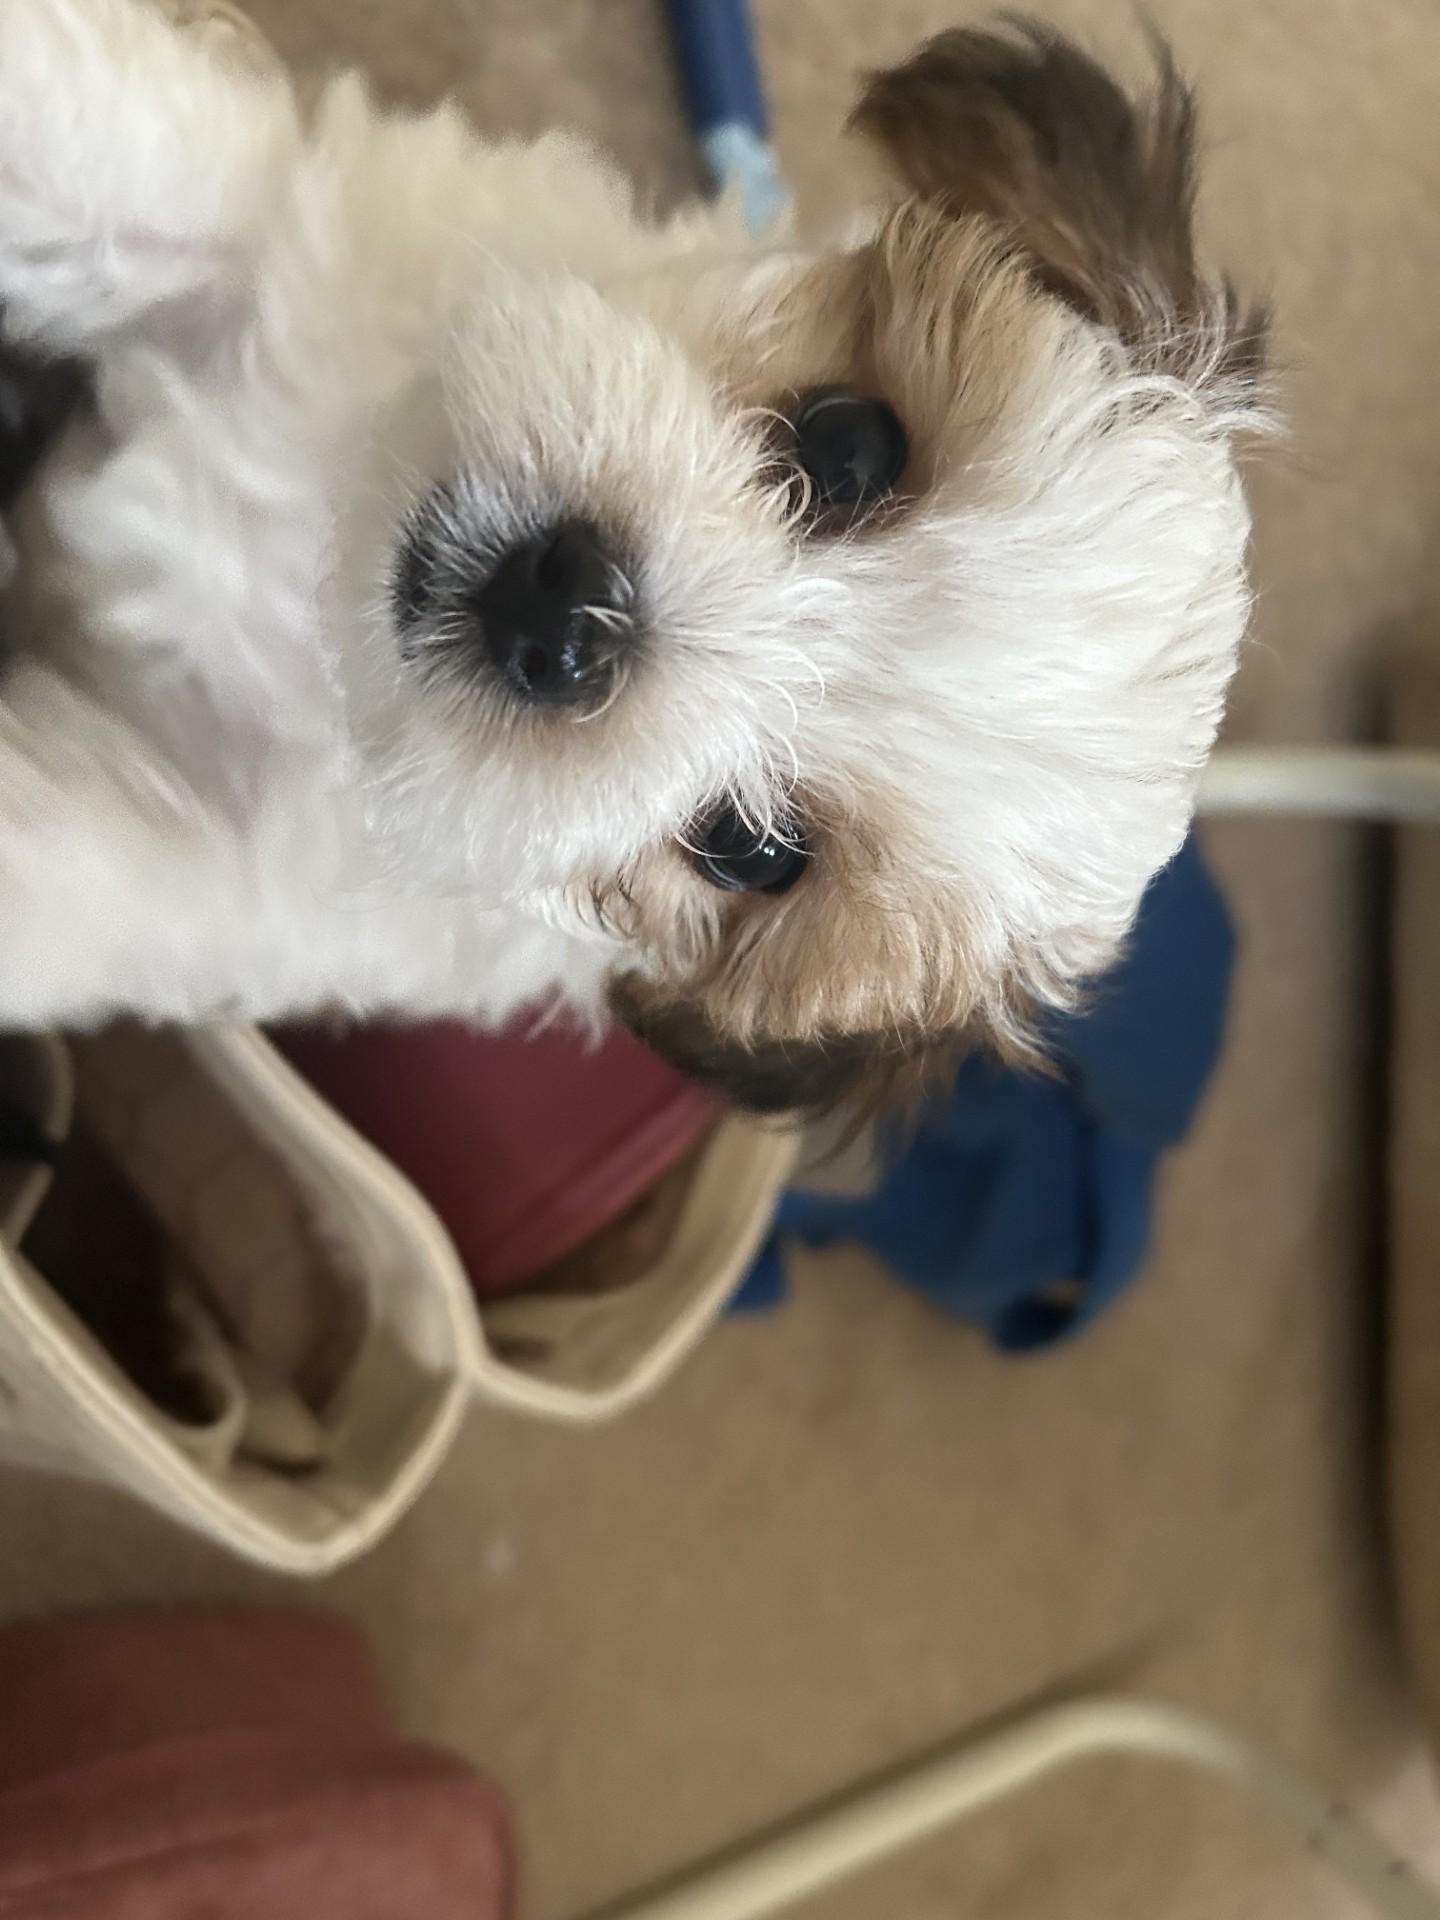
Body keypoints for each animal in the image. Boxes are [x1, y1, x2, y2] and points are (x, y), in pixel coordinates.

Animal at [0, 0, 1269, 1117]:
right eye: (852, 446)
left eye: (750, 850)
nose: (568, 617)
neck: (326, 573)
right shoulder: (303, 232)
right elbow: (121, 154)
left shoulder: (239, 868)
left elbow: (81, 878)